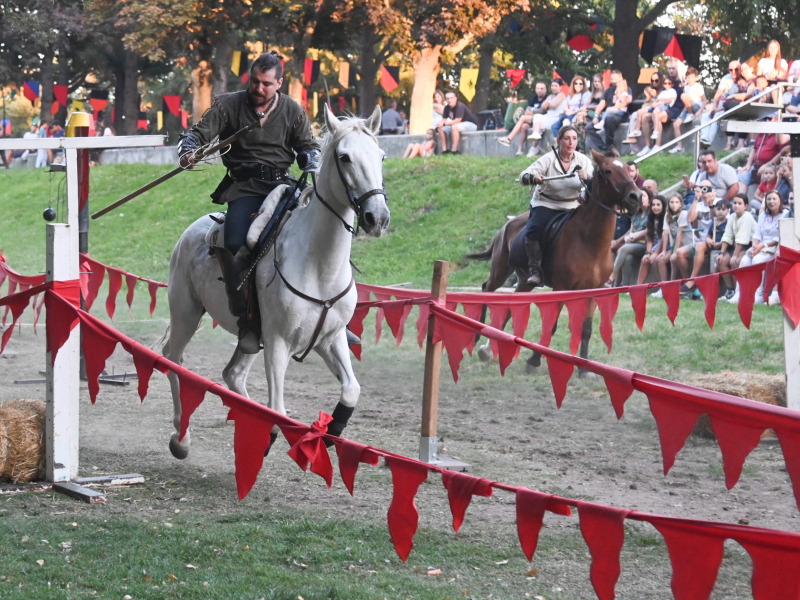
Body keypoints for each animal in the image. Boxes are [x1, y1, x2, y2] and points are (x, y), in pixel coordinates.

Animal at [162, 105, 388, 458]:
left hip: (251, 337)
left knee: (232, 374)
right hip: (186, 313)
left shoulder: (330, 338)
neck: (318, 266)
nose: (377, 217)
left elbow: (351, 389)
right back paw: (180, 439)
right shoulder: (279, 341)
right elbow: (278, 409)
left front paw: (330, 434)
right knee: (174, 360)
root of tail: (190, 232)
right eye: (345, 157)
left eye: (380, 156)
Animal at [466, 148, 640, 372]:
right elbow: (552, 325)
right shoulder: (561, 287)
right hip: (500, 270)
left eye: (628, 168)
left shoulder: (594, 290)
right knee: (486, 289)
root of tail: (507, 225)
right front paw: (534, 361)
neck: (589, 240)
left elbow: (586, 329)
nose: (636, 196)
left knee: (511, 305)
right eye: (608, 171)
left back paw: (491, 347)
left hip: (524, 280)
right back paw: (479, 337)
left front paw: (584, 368)